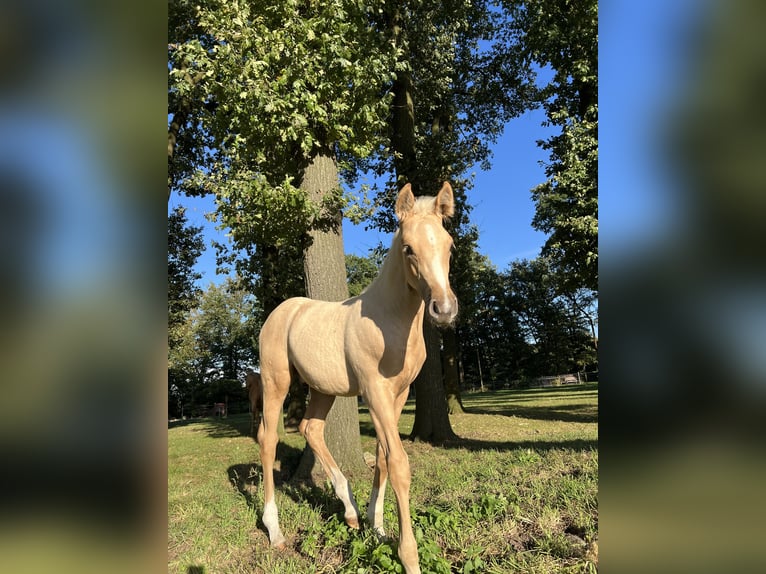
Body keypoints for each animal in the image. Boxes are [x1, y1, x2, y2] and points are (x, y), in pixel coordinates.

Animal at [260, 182, 460, 572]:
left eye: (449, 245)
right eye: (408, 248)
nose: (443, 310)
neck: (391, 320)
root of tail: (282, 311)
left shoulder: (399, 394)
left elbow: (382, 458)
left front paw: (376, 526)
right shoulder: (374, 391)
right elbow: (398, 464)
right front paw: (409, 556)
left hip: (323, 389)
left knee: (310, 428)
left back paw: (350, 511)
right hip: (276, 383)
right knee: (268, 439)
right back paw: (274, 531)